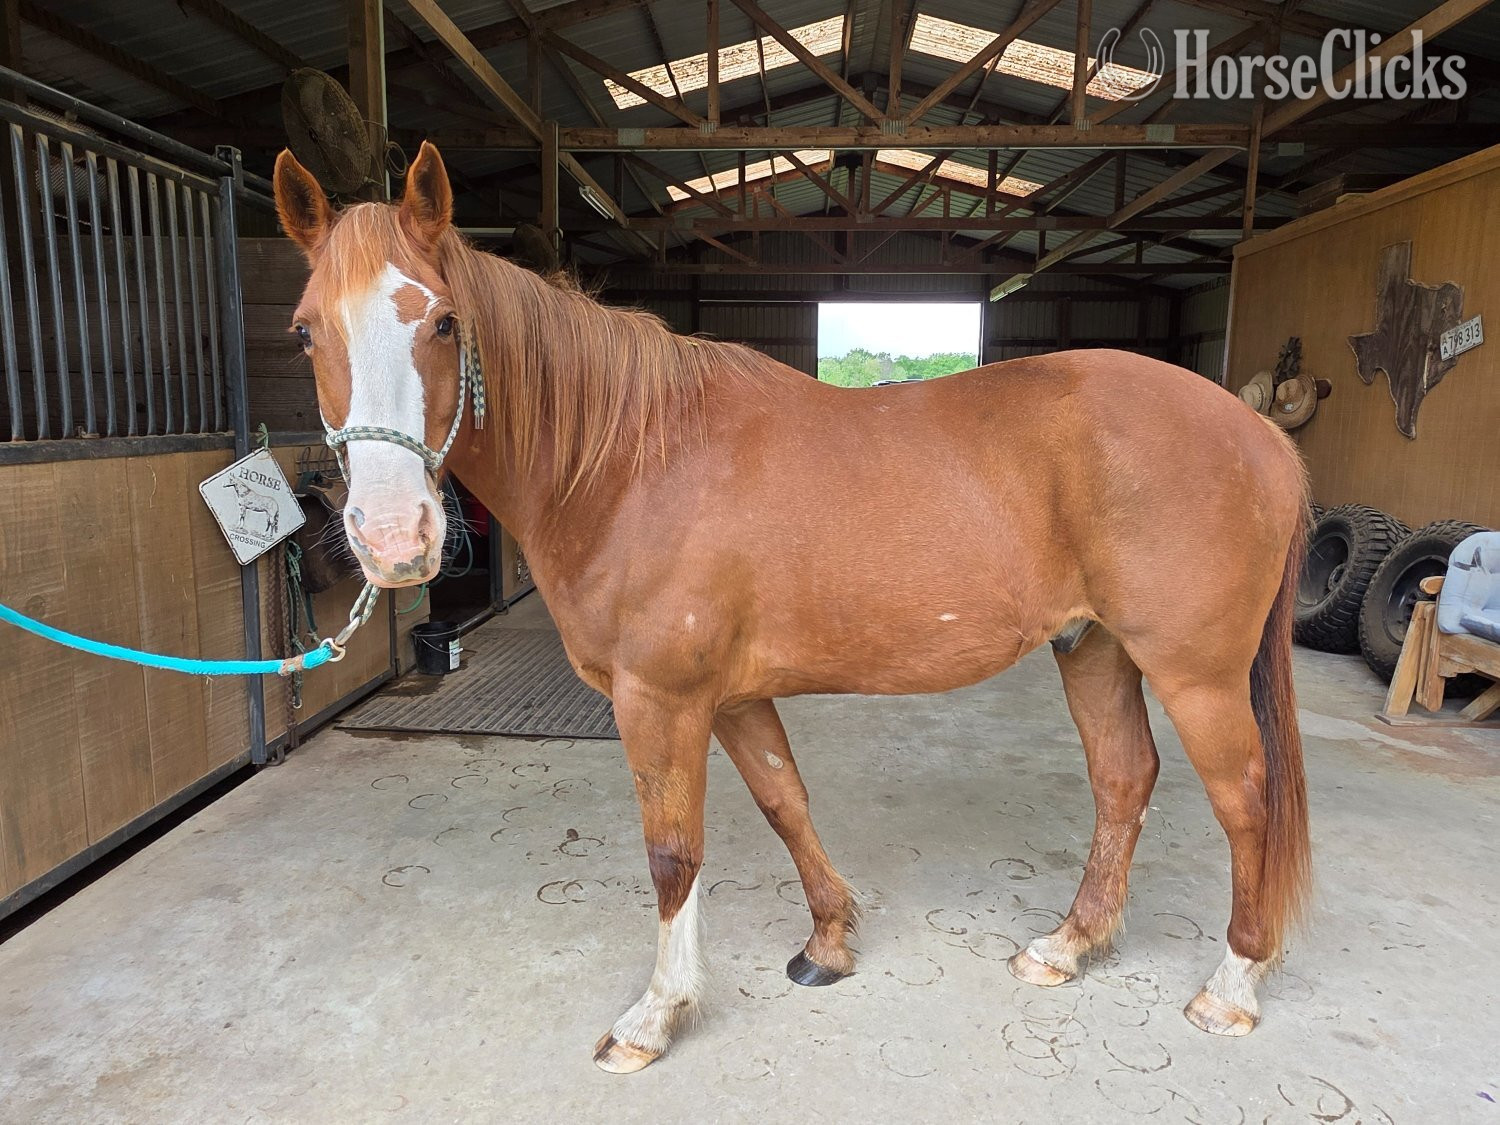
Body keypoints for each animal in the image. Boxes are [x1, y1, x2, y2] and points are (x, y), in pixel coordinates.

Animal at [273, 142, 1311, 1074]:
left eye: (445, 323)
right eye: (305, 332)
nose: (393, 538)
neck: (631, 463)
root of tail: (1259, 432)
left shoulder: (660, 701)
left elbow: (673, 852)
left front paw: (656, 1015)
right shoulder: (730, 698)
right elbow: (784, 801)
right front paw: (829, 942)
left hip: (1195, 672)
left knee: (1243, 799)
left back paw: (1231, 986)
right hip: (1094, 647)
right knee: (1124, 780)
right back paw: (1069, 944)